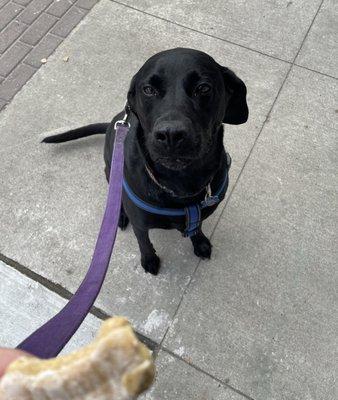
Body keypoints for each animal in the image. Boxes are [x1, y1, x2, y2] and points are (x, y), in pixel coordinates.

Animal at [43, 47, 248, 276]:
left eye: (203, 88)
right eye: (148, 90)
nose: (171, 135)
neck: (180, 183)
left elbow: (197, 227)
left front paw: (200, 242)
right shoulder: (140, 224)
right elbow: (144, 242)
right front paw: (149, 260)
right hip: (110, 171)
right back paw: (119, 215)